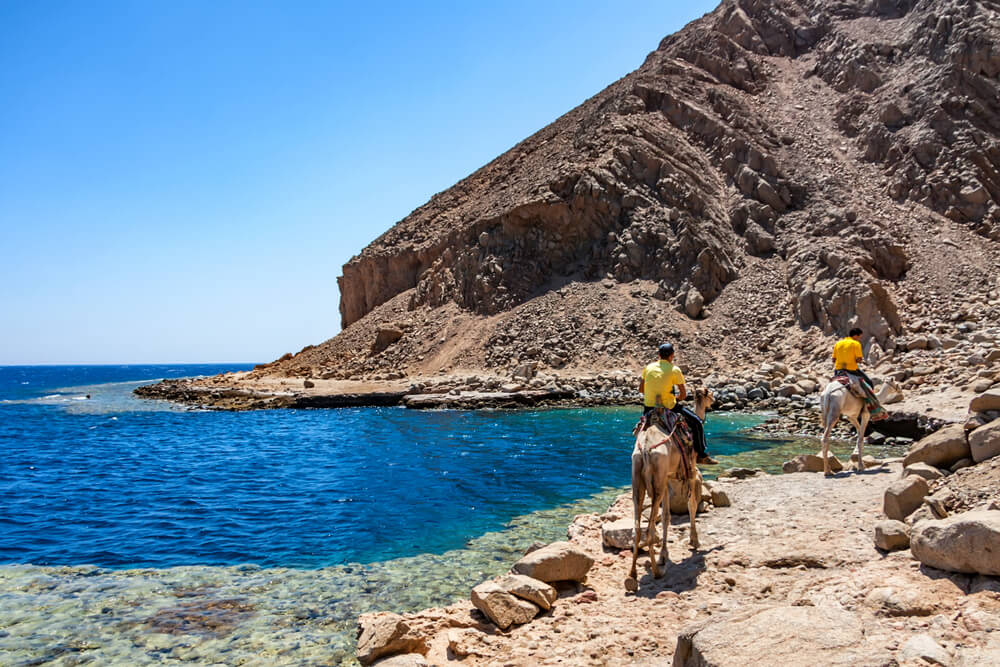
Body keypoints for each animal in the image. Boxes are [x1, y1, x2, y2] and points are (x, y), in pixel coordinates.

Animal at [620, 388, 716, 592]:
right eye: (710, 394)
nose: (714, 400)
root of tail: (646, 449)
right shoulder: (691, 472)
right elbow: (691, 506)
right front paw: (694, 541)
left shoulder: (667, 480)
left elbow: (666, 517)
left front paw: (664, 555)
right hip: (657, 480)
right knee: (648, 531)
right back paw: (657, 572)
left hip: (639, 479)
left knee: (637, 528)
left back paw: (631, 577)